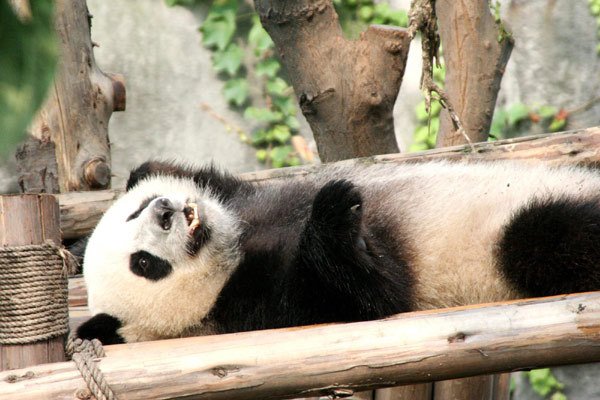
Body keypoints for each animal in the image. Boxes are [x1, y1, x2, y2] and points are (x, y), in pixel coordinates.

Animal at [77, 159, 600, 344]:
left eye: (137, 210)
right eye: (144, 264)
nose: (164, 211)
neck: (234, 255)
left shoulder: (248, 201)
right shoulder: (262, 309)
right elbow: (374, 294)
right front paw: (335, 212)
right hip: (505, 244)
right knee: (548, 239)